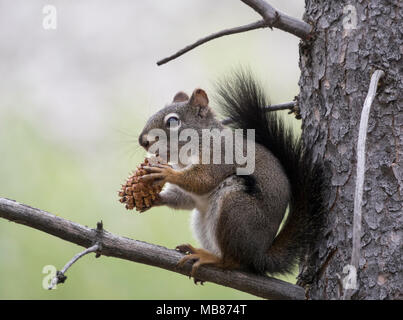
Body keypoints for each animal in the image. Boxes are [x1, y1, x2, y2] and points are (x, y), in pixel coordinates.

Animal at [138, 70, 326, 280]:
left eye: (172, 121)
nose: (142, 141)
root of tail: (259, 256)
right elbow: (185, 198)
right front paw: (153, 198)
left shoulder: (221, 155)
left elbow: (202, 180)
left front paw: (166, 172)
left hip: (235, 207)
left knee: (233, 261)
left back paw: (210, 258)